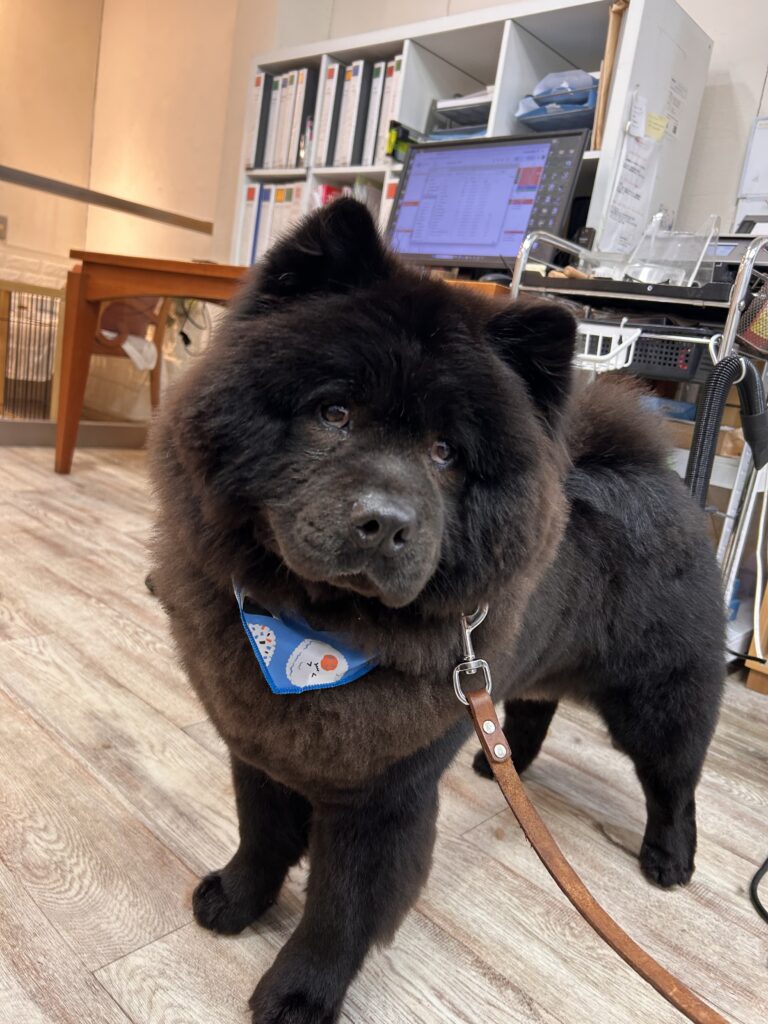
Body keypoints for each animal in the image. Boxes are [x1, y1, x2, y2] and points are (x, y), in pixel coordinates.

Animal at [150, 198, 725, 1024]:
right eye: (334, 413)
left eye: (445, 453)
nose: (386, 521)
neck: (315, 634)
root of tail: (656, 470)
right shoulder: (256, 747)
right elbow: (260, 837)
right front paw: (235, 901)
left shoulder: (382, 798)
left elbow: (341, 906)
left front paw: (299, 992)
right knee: (534, 705)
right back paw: (499, 764)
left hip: (658, 694)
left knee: (674, 779)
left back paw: (668, 858)